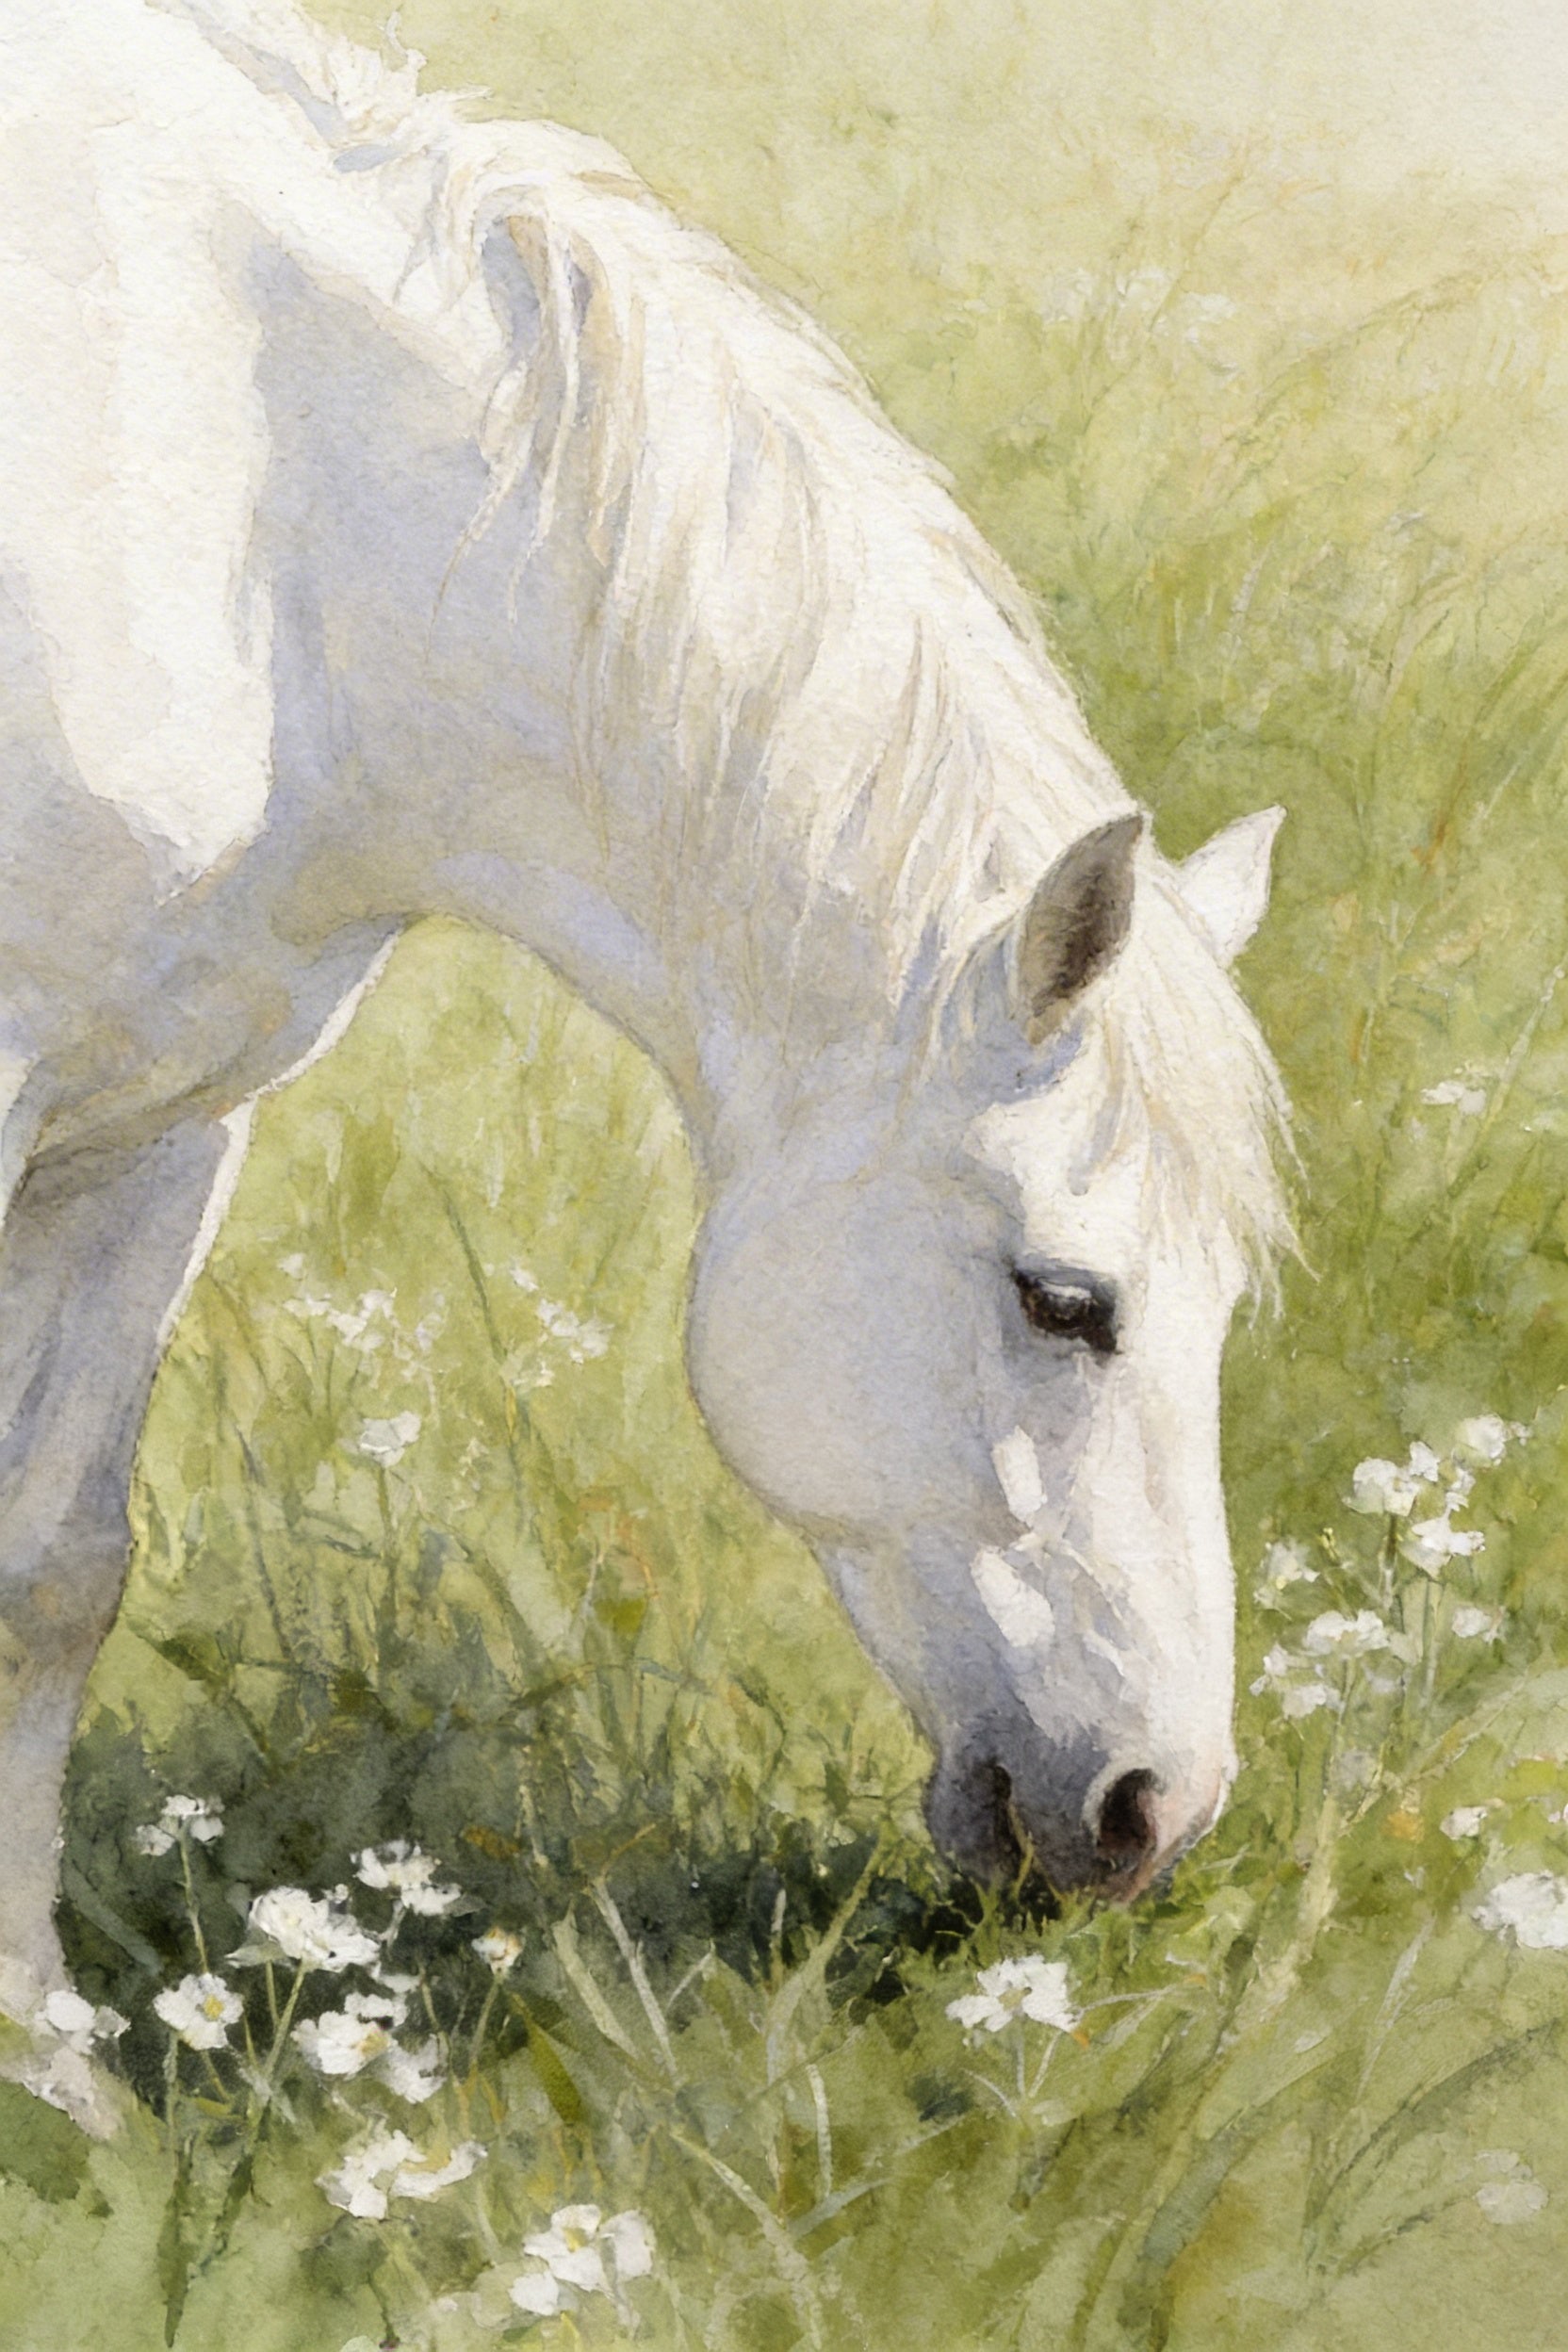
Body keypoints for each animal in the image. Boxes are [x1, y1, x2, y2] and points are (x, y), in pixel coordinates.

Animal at [0, 0, 1292, 2060]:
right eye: (1062, 1300)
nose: (1150, 1811)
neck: (258, 500)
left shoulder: (161, 1129)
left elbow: (50, 1573)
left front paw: (52, 2075)